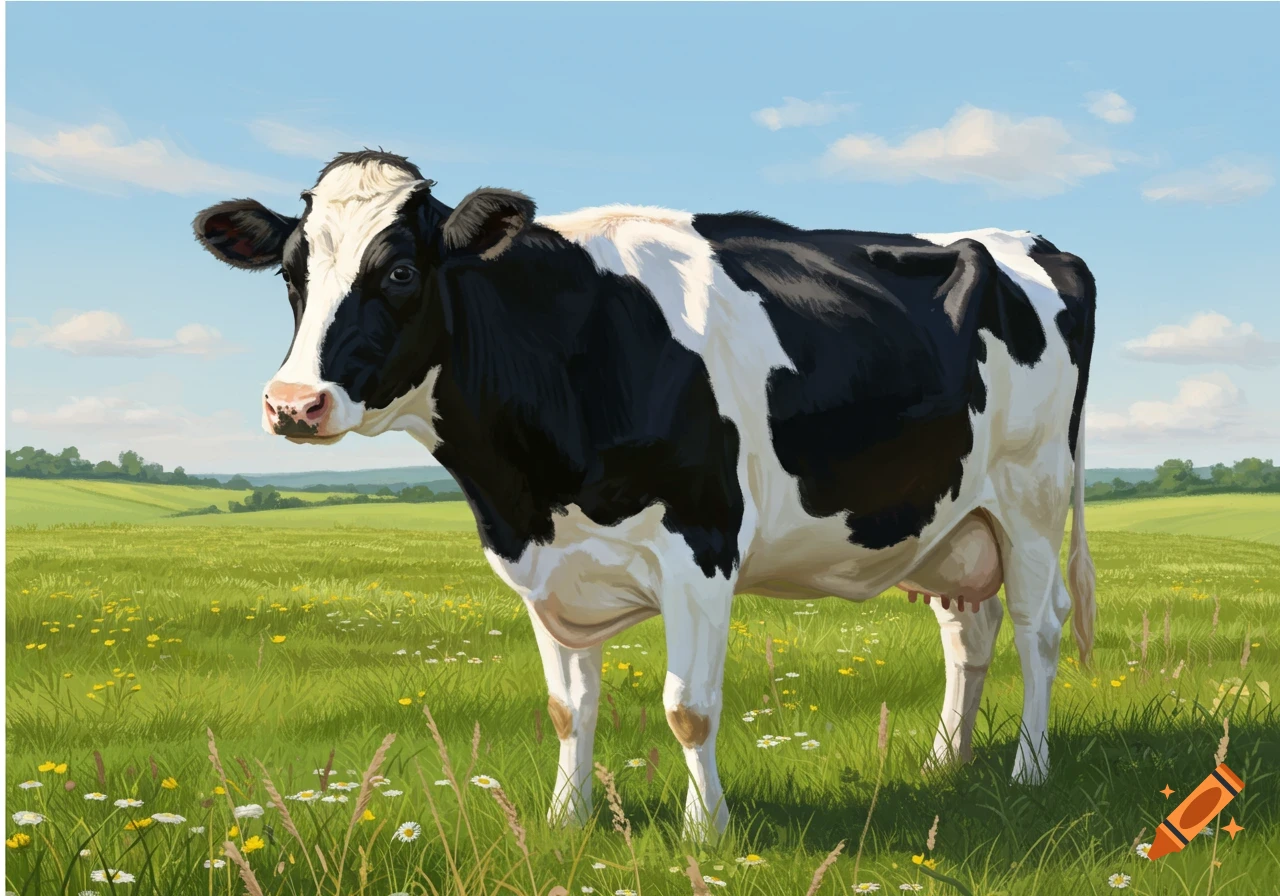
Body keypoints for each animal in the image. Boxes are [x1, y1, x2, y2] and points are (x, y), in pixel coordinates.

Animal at [193, 150, 1097, 839]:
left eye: (402, 269)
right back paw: (946, 762)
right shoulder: (547, 565)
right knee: (969, 632)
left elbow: (688, 707)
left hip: (1031, 497)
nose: (293, 403)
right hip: (954, 519)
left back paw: (1029, 769)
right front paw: (565, 821)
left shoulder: (701, 546)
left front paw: (707, 832)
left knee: (1036, 628)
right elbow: (568, 707)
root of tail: (1028, 240)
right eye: (291, 274)